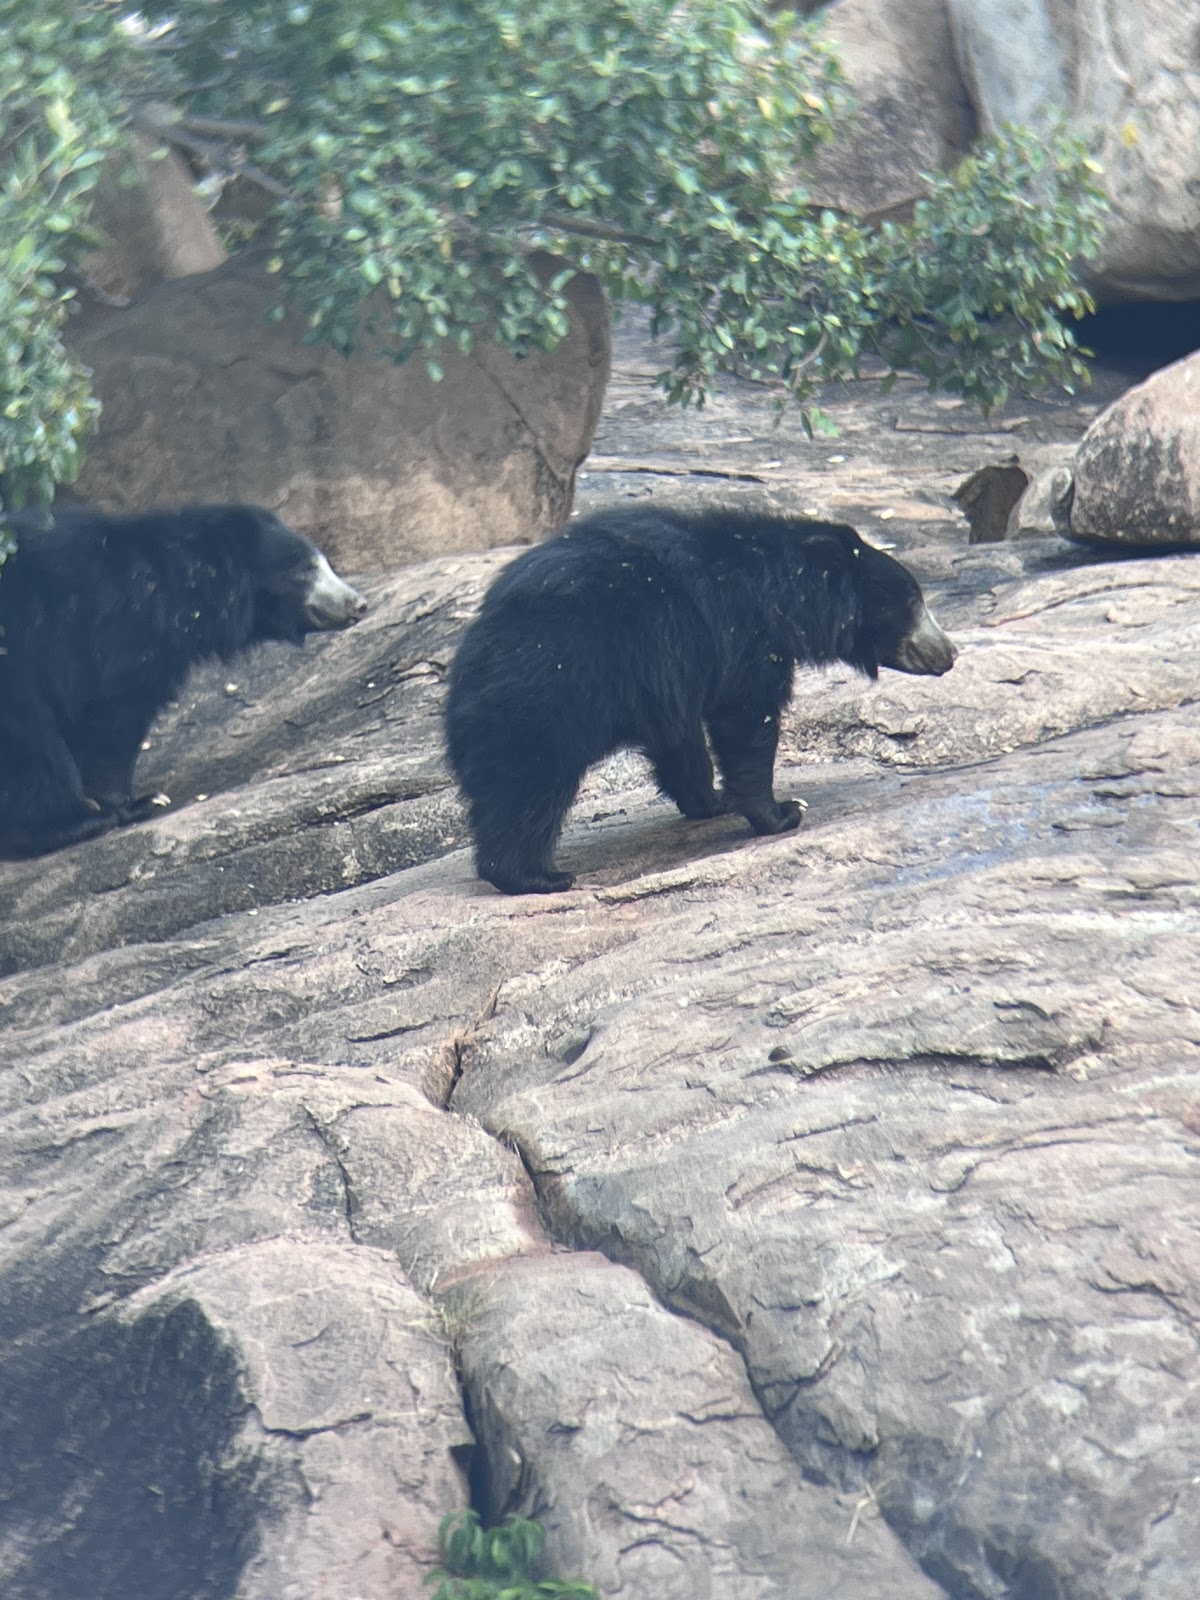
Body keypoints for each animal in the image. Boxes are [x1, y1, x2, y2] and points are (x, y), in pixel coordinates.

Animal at [0, 502, 366, 858]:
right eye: (304, 568)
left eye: (326, 564)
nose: (358, 603)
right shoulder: (123, 628)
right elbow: (113, 714)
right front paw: (133, 804)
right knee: (30, 739)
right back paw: (71, 825)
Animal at [445, 504, 955, 894]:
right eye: (912, 602)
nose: (949, 653)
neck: (785, 592)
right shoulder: (740, 637)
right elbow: (748, 721)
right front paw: (781, 813)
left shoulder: (672, 667)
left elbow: (680, 738)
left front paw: (711, 801)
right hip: (548, 689)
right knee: (526, 785)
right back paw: (536, 877)